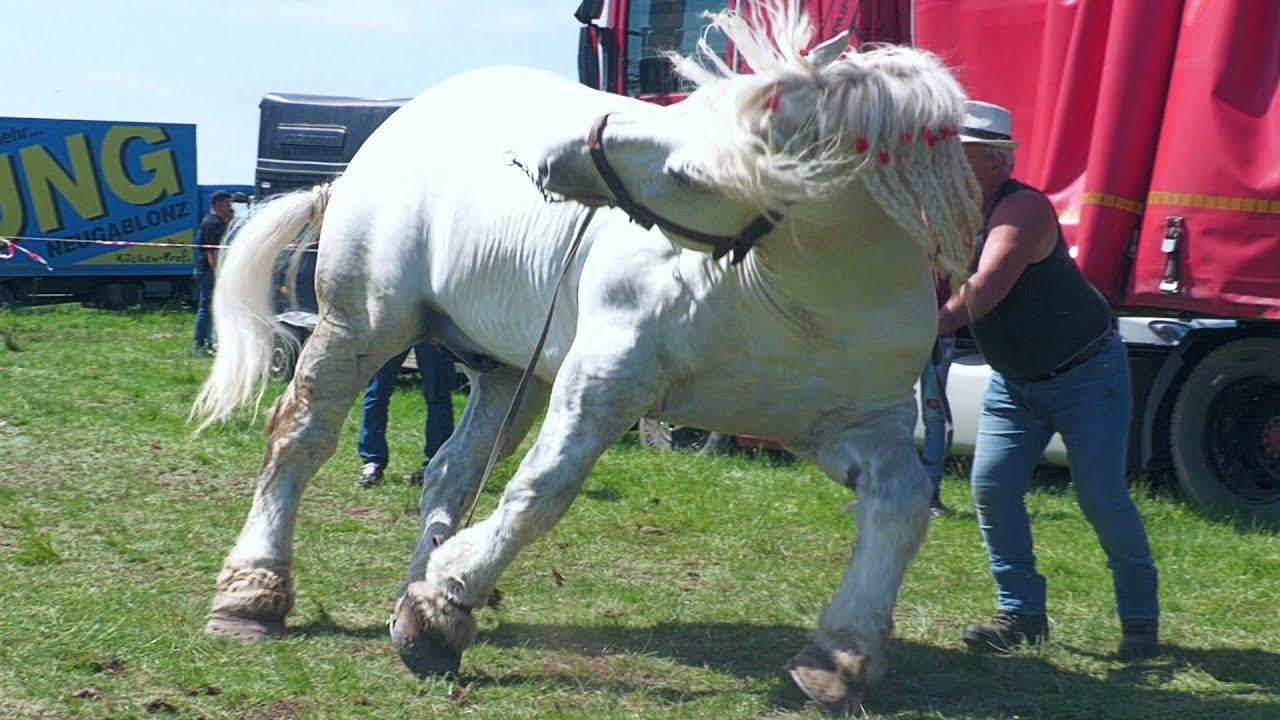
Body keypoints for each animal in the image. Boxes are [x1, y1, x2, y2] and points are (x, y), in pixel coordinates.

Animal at [191, 3, 979, 713]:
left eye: (691, 173)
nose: (548, 158)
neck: (791, 296)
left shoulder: (853, 426)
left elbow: (901, 505)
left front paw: (840, 657)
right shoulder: (603, 382)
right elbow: (542, 492)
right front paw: (442, 609)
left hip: (509, 374)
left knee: (451, 469)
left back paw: (412, 584)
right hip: (361, 324)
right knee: (300, 438)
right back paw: (252, 594)